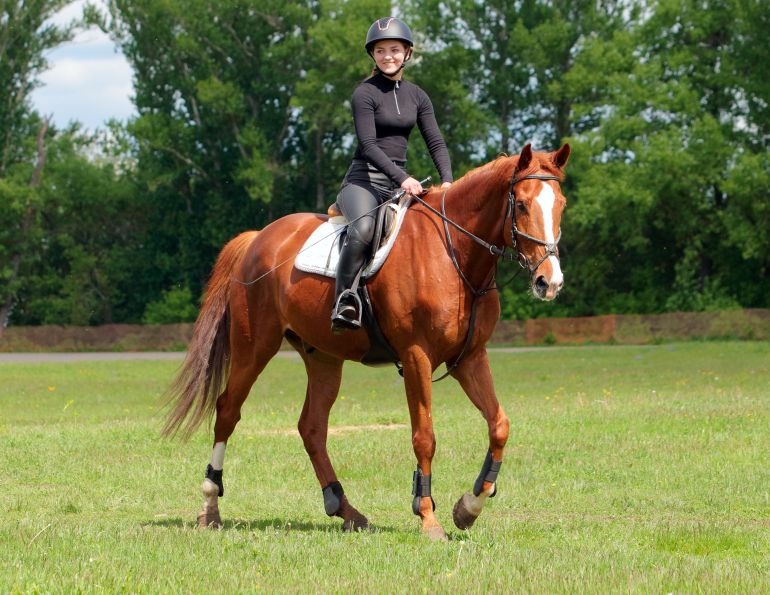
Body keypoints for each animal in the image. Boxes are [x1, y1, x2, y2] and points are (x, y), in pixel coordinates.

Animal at [163, 143, 570, 541]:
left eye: (562, 204)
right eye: (521, 205)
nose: (549, 282)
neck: (452, 253)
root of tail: (257, 239)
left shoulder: (470, 357)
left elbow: (499, 424)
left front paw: (468, 508)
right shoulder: (417, 356)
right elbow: (424, 436)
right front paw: (428, 518)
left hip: (323, 357)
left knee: (312, 428)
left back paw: (345, 509)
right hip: (254, 347)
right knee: (228, 411)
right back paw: (210, 508)